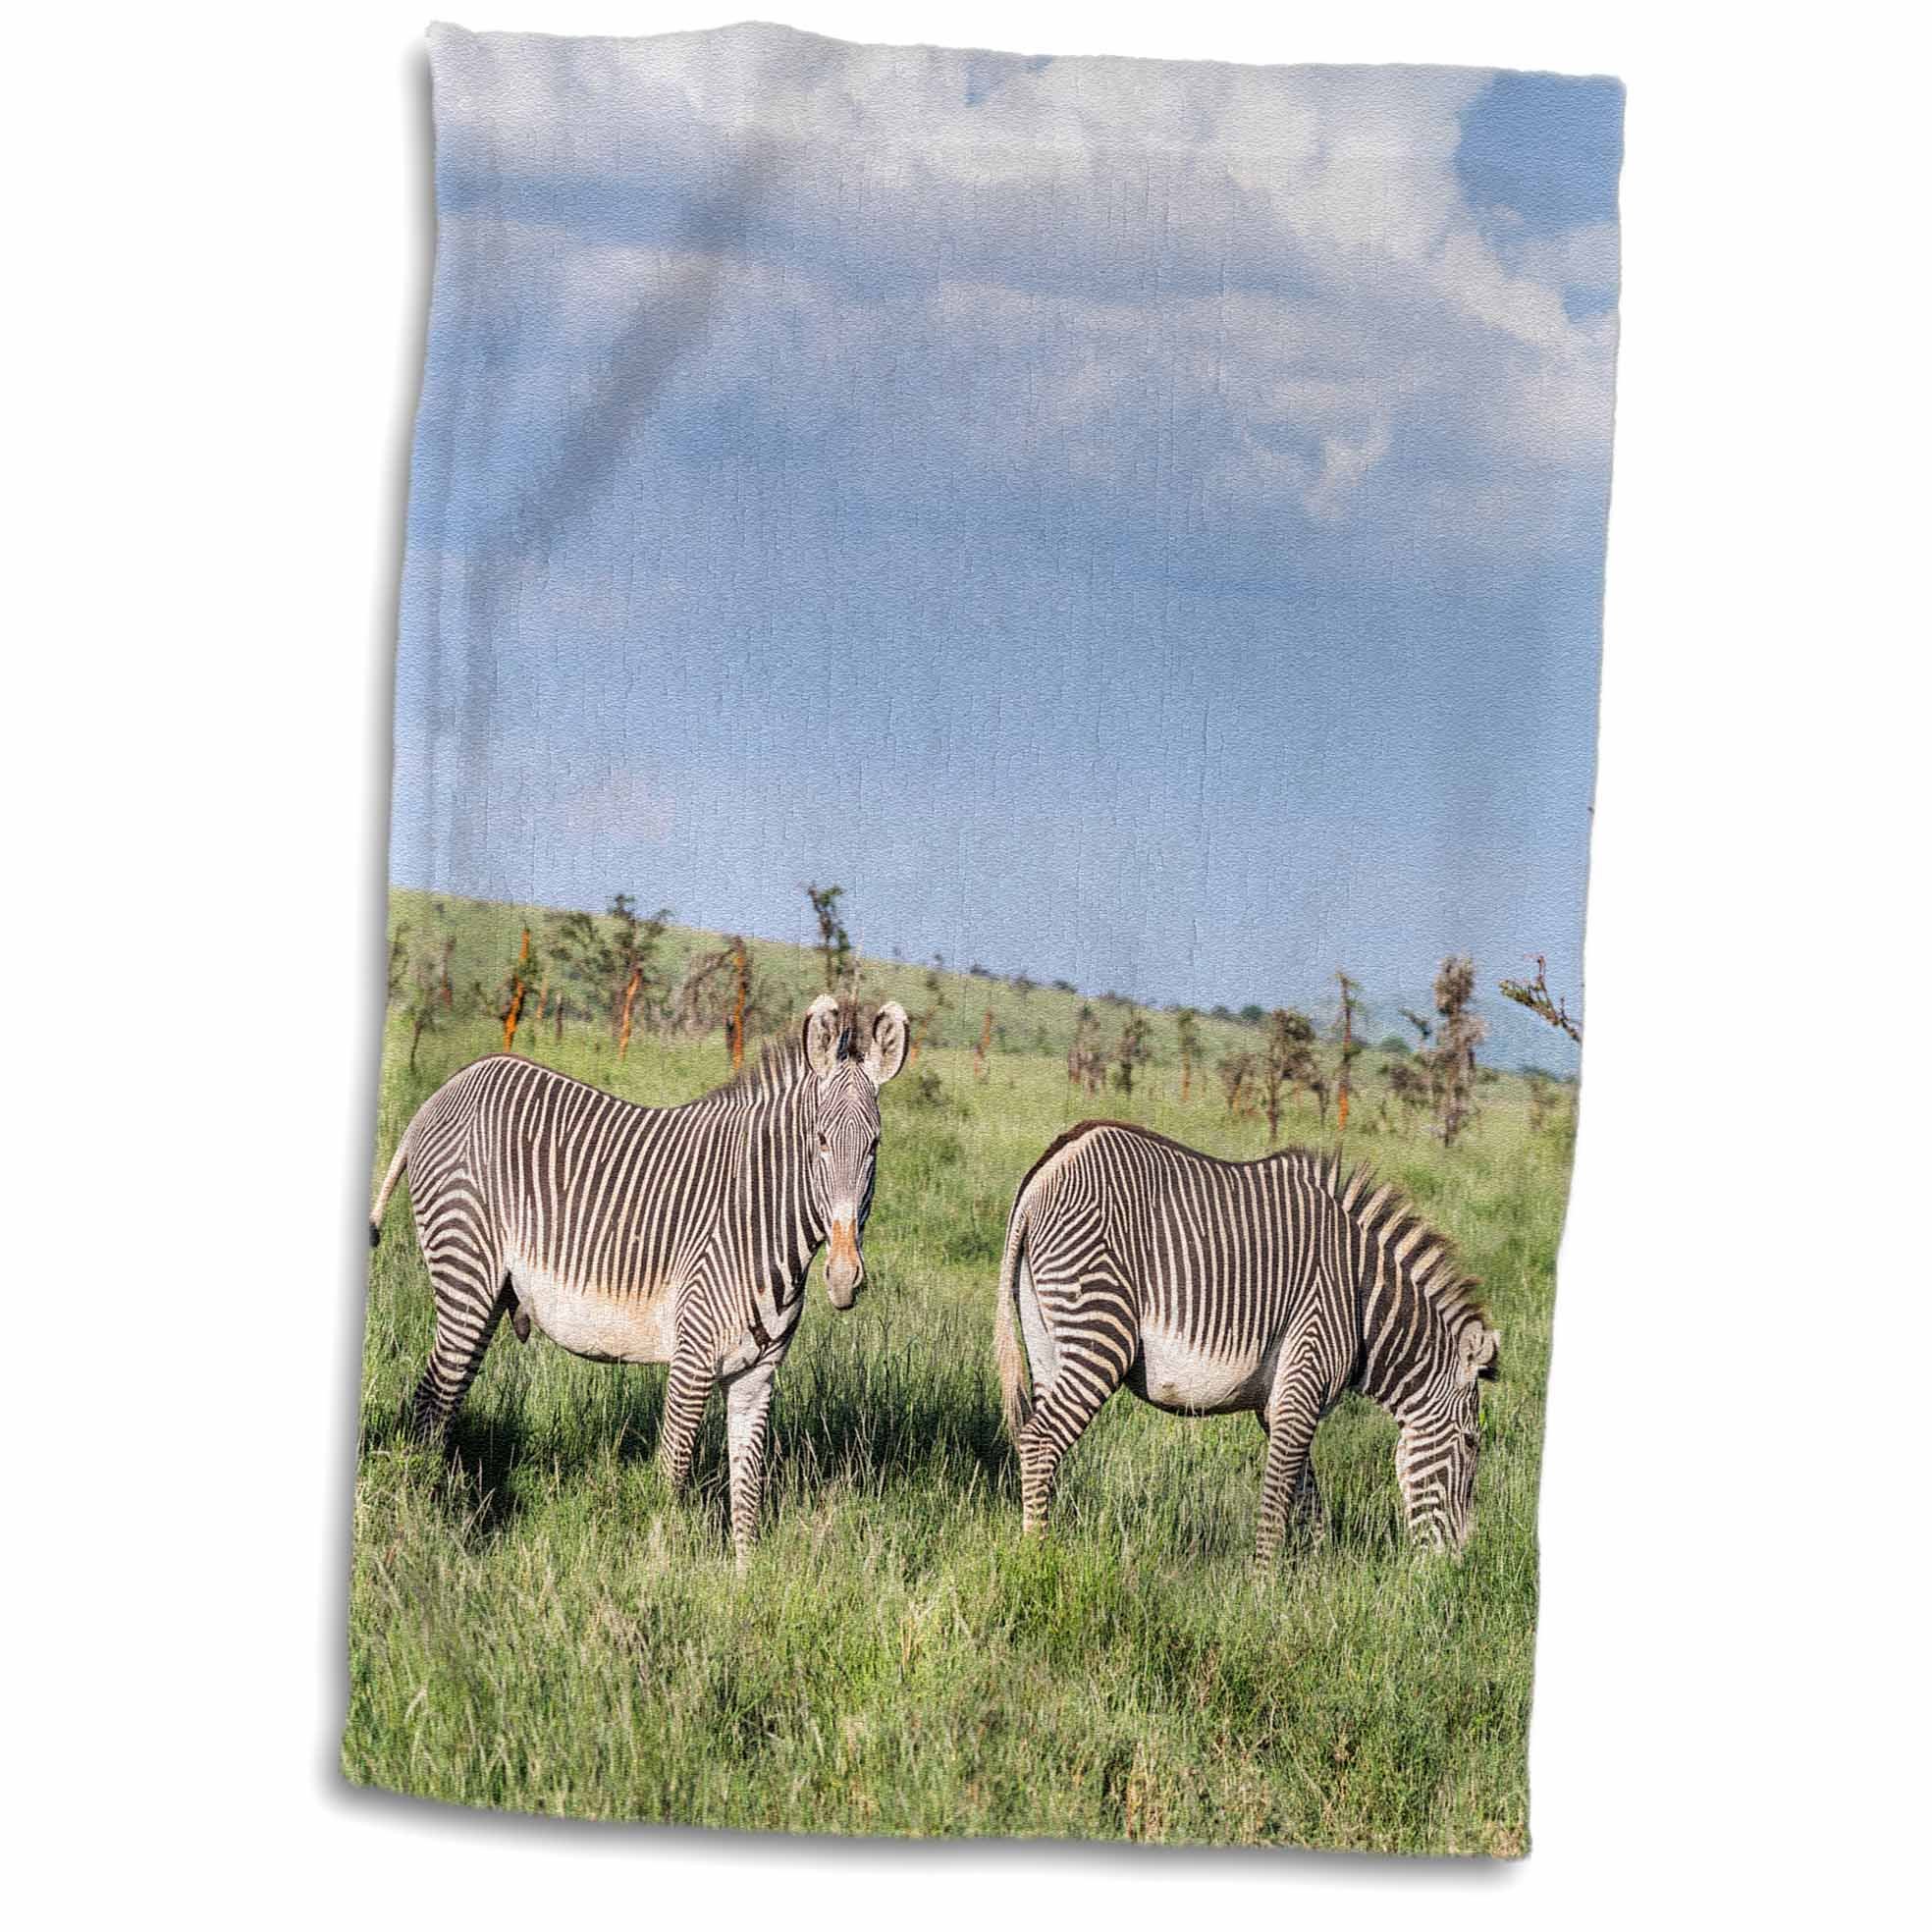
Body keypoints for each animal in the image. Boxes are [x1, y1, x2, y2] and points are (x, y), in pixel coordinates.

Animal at [369, 993, 909, 1563]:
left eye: (874, 1146)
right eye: (820, 1142)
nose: (844, 1277)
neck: (760, 1219)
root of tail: (447, 1089)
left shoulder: (756, 1377)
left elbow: (747, 1491)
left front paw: (744, 1576)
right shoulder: (693, 1359)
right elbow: (673, 1472)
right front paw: (661, 1564)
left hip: (491, 1292)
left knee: (445, 1399)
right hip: (464, 1269)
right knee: (431, 1401)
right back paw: (419, 1516)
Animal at [993, 1121, 1500, 1563]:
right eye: (1472, 1442)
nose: (1455, 1565)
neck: (1362, 1303)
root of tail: (1051, 1163)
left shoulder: (1284, 1400)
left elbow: (1306, 1494)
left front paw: (1316, 1573)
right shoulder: (1306, 1371)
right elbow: (1278, 1496)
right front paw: (1265, 1589)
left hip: (1045, 1340)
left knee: (1038, 1439)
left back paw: (1050, 1536)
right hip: (1102, 1328)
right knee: (1040, 1439)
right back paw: (1036, 1556)